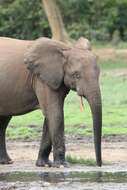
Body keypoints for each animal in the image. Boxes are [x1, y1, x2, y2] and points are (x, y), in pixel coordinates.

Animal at [0, 37, 102, 168]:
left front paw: (44, 164)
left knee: (4, 121)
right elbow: (55, 113)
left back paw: (6, 162)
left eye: (99, 73)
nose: (98, 165)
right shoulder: (41, 78)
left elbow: (51, 115)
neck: (66, 49)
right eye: (76, 75)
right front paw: (62, 165)